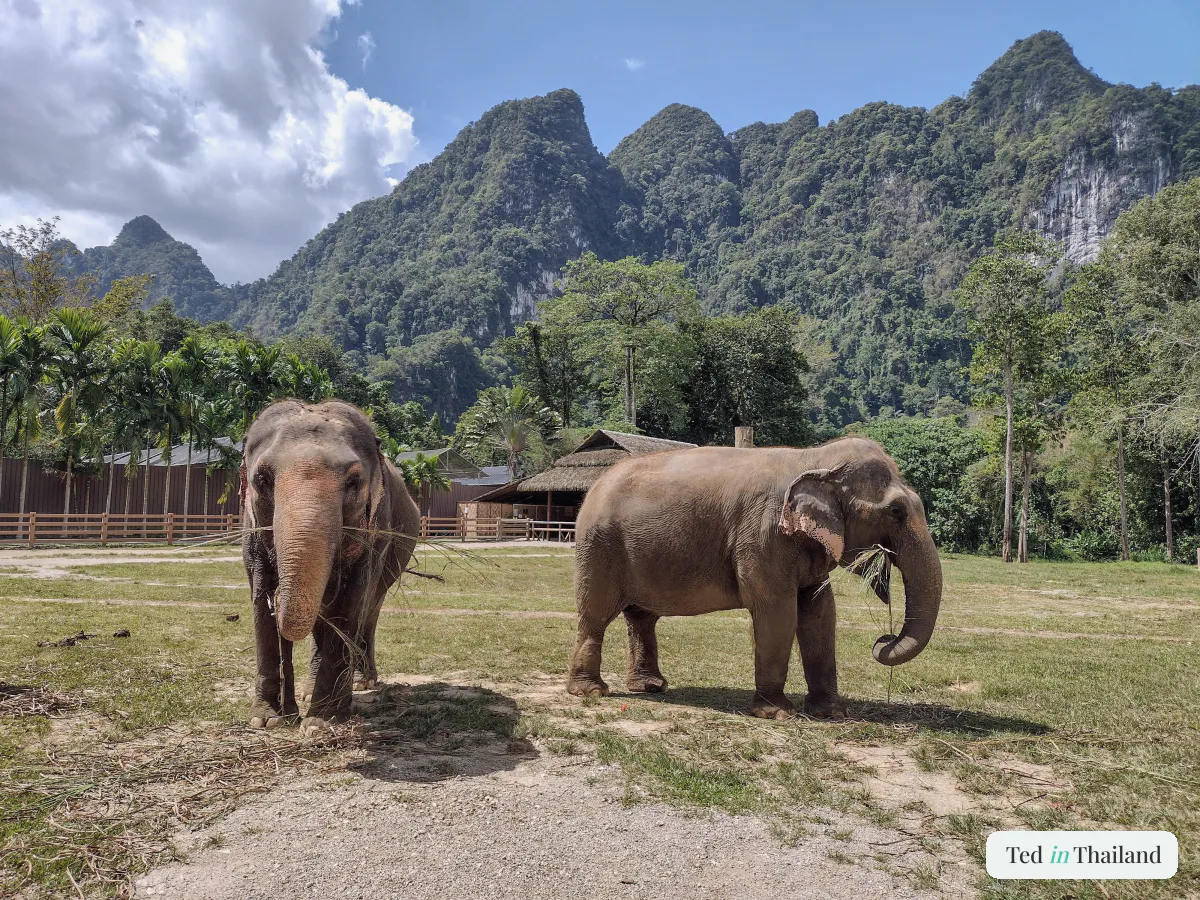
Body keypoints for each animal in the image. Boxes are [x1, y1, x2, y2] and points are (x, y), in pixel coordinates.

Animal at [241, 400, 421, 735]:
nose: (279, 598)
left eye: (353, 482)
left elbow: (351, 603)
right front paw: (267, 719)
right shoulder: (250, 529)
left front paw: (322, 722)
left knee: (370, 610)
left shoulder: (375, 533)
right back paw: (311, 692)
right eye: (262, 480)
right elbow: (260, 599)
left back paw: (361, 682)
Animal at [566, 436, 942, 719]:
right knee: (595, 614)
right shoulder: (763, 536)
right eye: (896, 511)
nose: (883, 639)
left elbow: (821, 613)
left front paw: (833, 712)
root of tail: (595, 484)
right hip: (598, 548)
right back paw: (591, 692)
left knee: (641, 618)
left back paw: (650, 687)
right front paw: (778, 714)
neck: (812, 456)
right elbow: (777, 612)